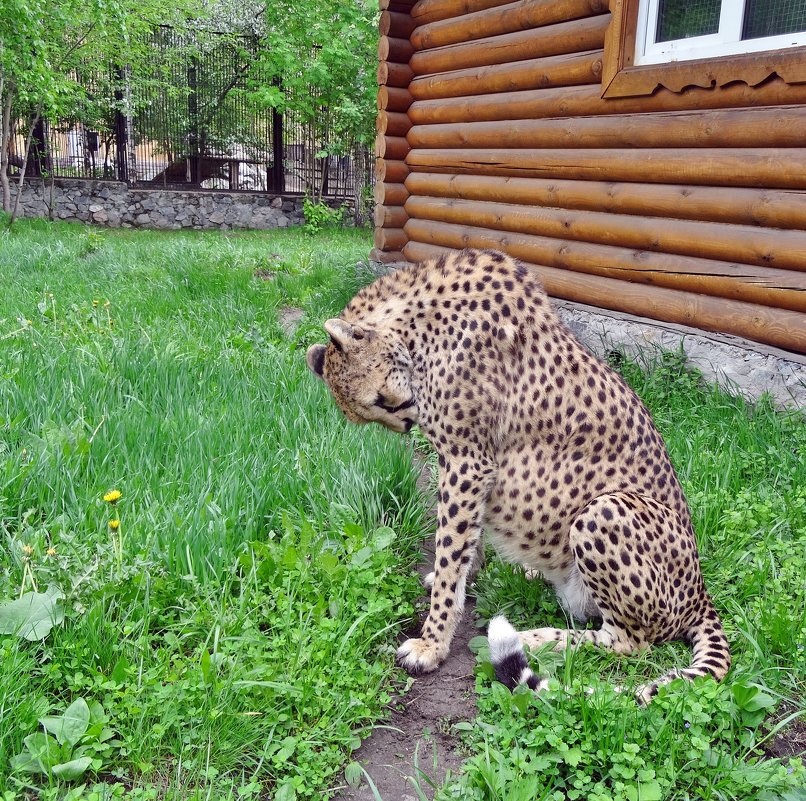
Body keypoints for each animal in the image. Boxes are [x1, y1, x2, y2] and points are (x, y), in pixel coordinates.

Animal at [308, 248, 732, 700]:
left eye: (380, 401)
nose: (406, 423)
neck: (417, 324)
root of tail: (701, 591)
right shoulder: (465, 466)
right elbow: (462, 545)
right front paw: (465, 576)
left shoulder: (467, 460)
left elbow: (451, 549)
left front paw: (432, 644)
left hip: (604, 509)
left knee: (629, 642)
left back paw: (534, 637)